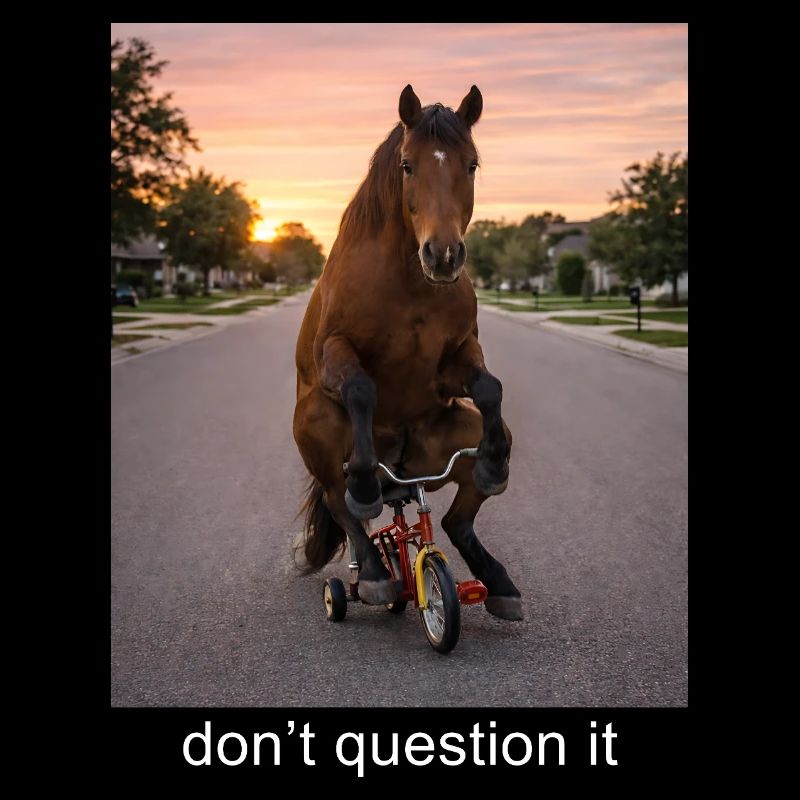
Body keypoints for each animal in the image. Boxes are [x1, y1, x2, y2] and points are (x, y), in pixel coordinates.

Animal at [293, 84, 522, 621]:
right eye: (407, 165)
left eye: (471, 164)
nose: (443, 254)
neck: (408, 281)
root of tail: (401, 474)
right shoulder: (335, 350)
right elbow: (360, 389)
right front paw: (362, 483)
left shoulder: (456, 357)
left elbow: (489, 386)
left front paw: (495, 463)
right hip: (318, 426)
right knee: (340, 504)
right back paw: (376, 573)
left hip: (447, 449)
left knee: (458, 519)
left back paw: (497, 580)